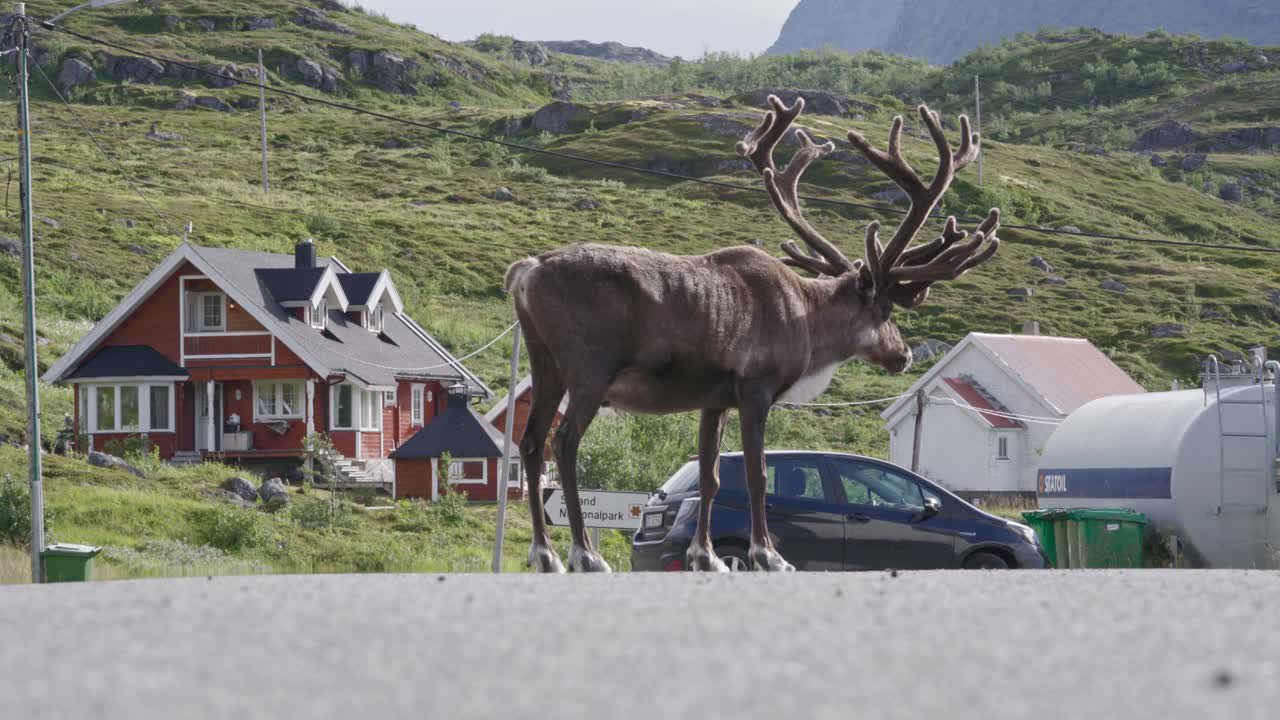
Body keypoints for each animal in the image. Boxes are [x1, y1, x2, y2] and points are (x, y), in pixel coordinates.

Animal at [504, 95, 1000, 573]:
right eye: (885, 309)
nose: (904, 356)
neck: (806, 319)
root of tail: (526, 271)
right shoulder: (756, 387)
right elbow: (757, 475)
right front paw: (769, 555)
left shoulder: (714, 398)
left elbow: (710, 476)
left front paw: (705, 556)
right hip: (590, 371)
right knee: (564, 443)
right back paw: (585, 553)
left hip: (545, 363)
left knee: (531, 441)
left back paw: (545, 553)